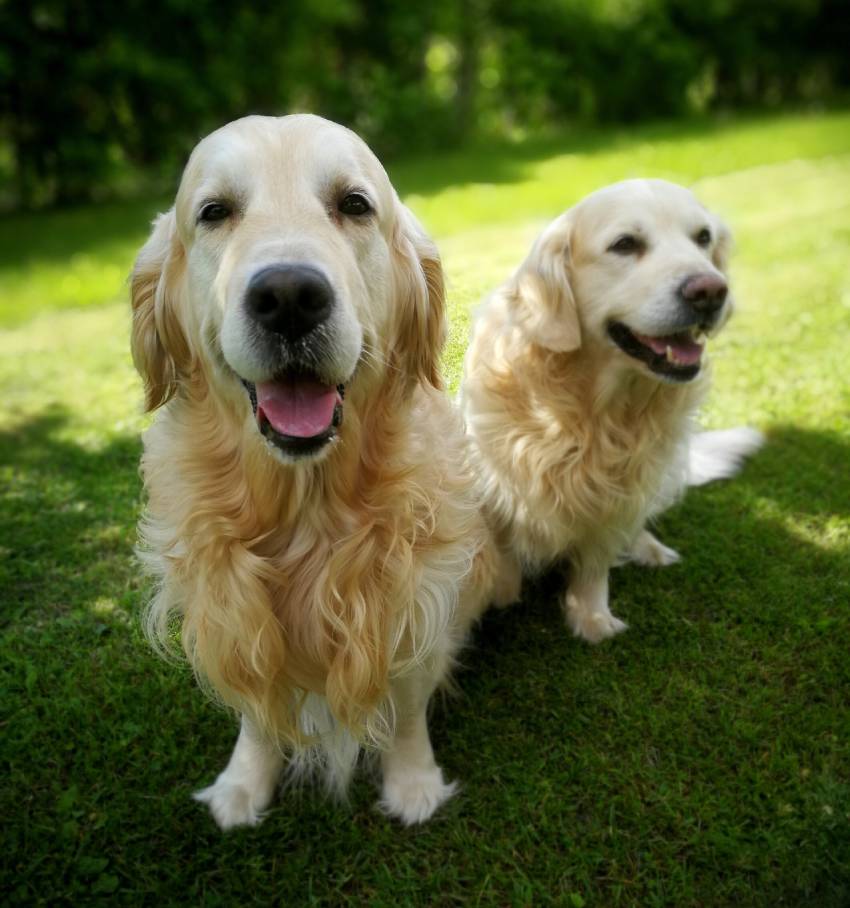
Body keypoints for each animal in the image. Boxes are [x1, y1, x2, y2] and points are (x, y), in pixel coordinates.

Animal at [132, 113, 496, 828]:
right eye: (214, 212)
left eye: (353, 205)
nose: (289, 297)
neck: (306, 507)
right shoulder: (230, 607)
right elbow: (256, 704)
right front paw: (244, 783)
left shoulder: (415, 600)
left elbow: (405, 703)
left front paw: (413, 783)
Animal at [460, 179, 760, 640]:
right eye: (625, 244)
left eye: (703, 238)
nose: (711, 292)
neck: (592, 411)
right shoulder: (493, 479)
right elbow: (501, 547)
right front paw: (500, 594)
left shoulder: (619, 496)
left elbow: (596, 559)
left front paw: (592, 616)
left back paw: (649, 548)